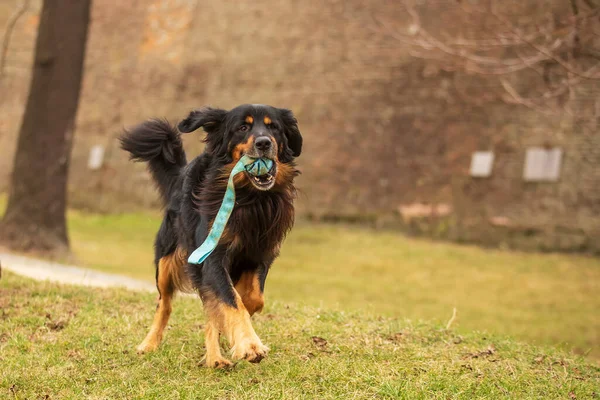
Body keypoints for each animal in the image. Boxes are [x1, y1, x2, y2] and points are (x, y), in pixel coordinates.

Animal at [119, 104, 302, 368]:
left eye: (273, 127)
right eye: (242, 127)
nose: (264, 143)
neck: (251, 199)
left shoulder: (261, 253)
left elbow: (250, 299)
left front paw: (236, 335)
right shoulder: (211, 256)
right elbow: (230, 300)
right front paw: (249, 344)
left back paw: (215, 356)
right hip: (166, 261)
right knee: (164, 304)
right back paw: (150, 344)